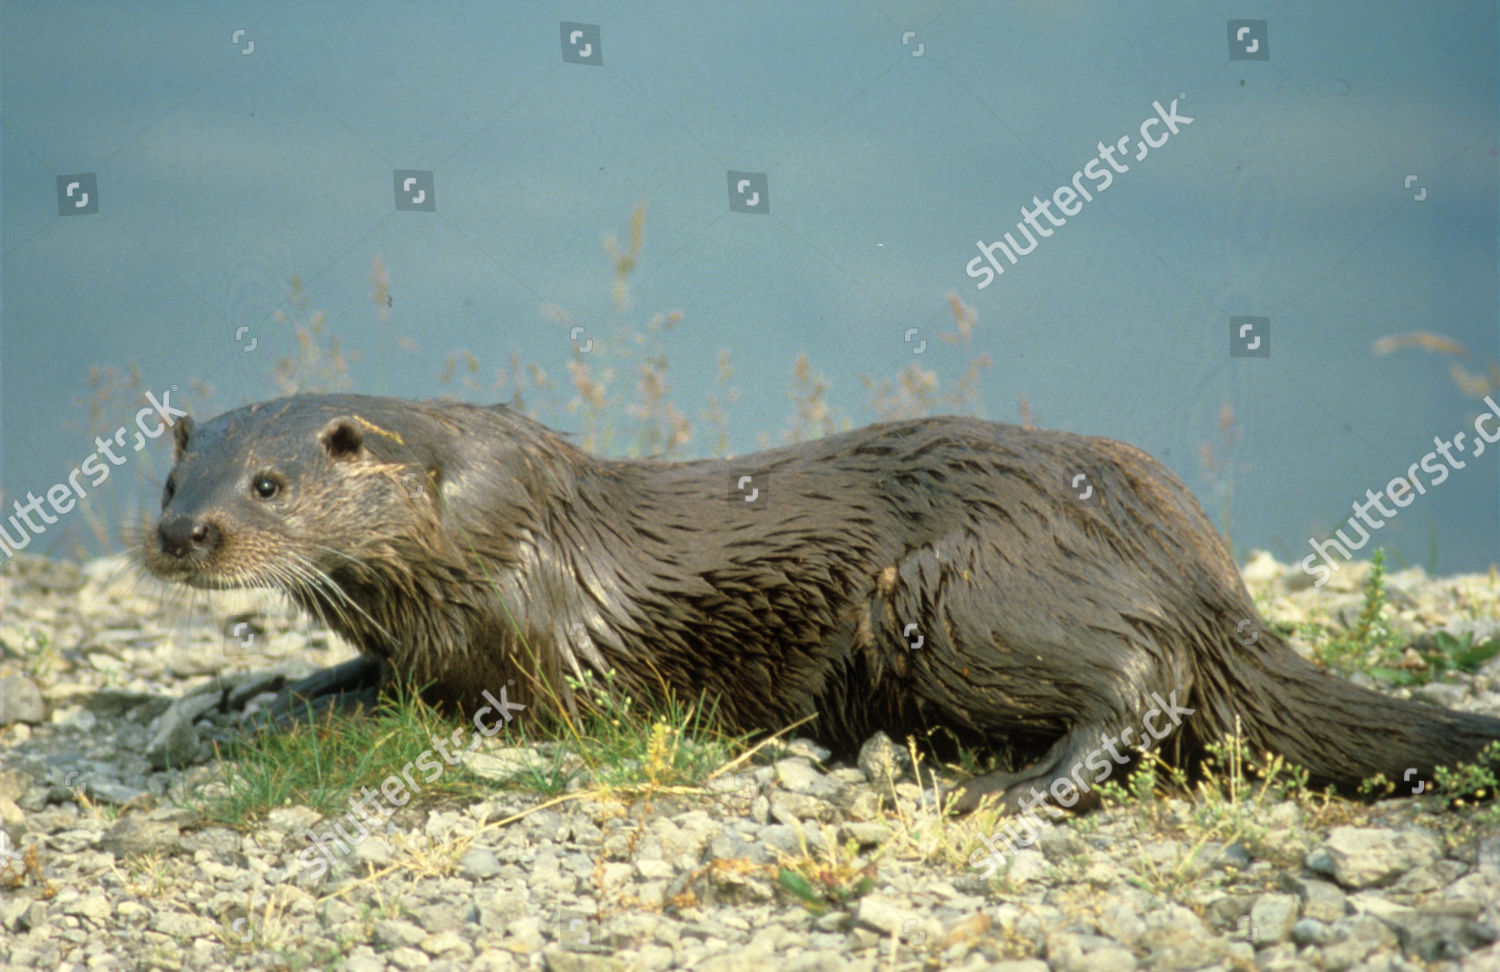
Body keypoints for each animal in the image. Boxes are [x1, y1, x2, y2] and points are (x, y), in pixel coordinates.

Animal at [142, 393, 1500, 812]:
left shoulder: (538, 653)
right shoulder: (418, 636)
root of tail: (1193, 559)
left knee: (1148, 682)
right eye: (170, 474)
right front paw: (243, 701)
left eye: (268, 483)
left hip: (971, 594)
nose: (181, 532)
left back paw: (1015, 786)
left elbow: (446, 711)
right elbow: (359, 676)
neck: (492, 533)